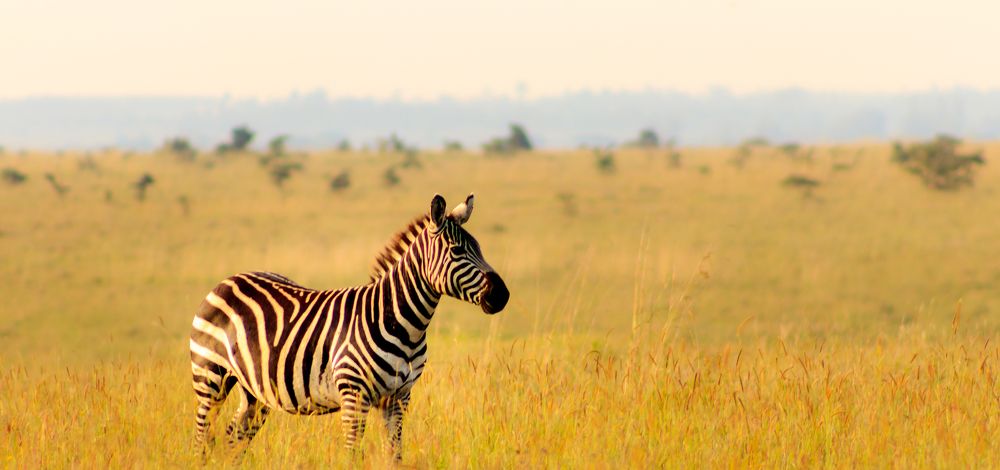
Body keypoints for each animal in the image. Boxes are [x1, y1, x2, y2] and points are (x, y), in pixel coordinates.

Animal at [189, 193, 509, 461]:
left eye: (479, 249)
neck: (406, 325)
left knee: (233, 440)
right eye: (457, 251)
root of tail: (228, 280)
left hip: (254, 391)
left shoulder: (399, 397)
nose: (502, 295)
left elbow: (395, 455)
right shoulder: (353, 394)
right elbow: (353, 454)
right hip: (210, 378)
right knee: (202, 439)